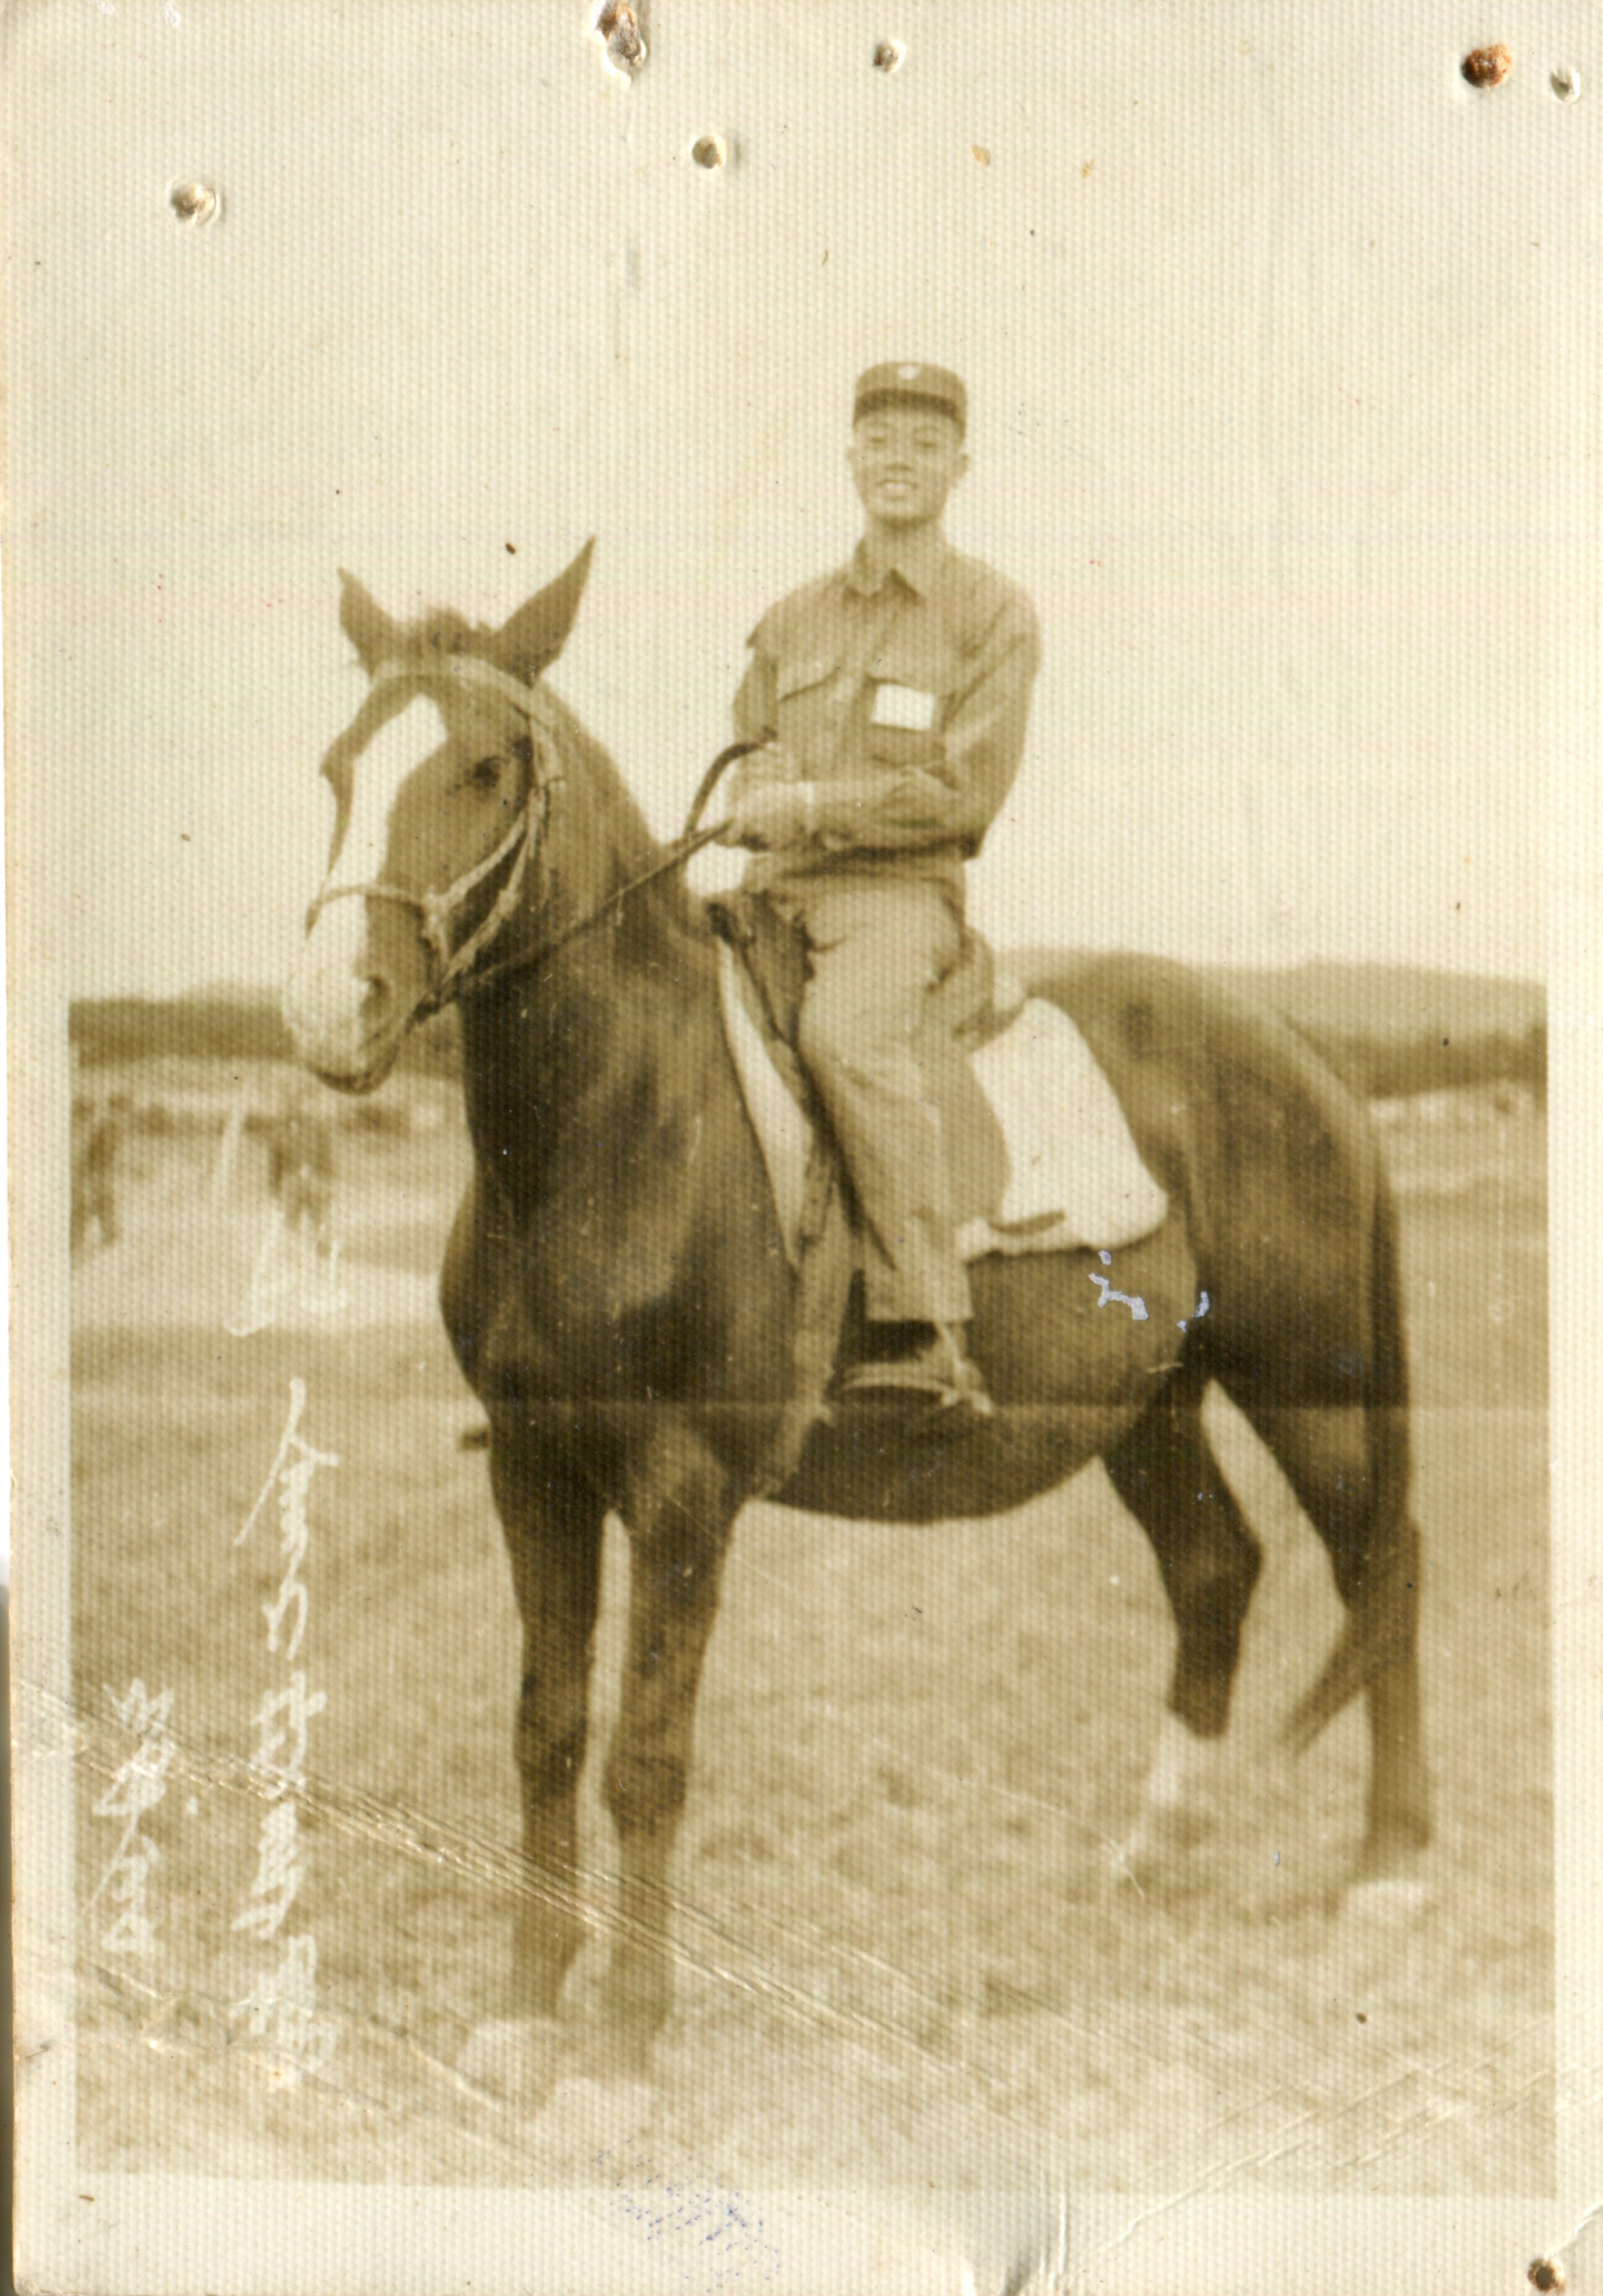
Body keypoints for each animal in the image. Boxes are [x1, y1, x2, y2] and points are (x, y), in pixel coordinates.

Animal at [282, 546, 1431, 2082]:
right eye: (341, 767)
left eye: (483, 765)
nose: (327, 1012)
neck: (623, 1121)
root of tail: (1293, 1040)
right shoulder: (534, 1467)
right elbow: (546, 1731)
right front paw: (526, 2003)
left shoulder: (683, 1491)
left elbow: (645, 1752)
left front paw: (625, 2029)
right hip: (1147, 1403)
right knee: (1215, 1569)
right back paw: (1158, 1846)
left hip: (1311, 1379)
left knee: (1380, 1564)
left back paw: (1391, 1867)